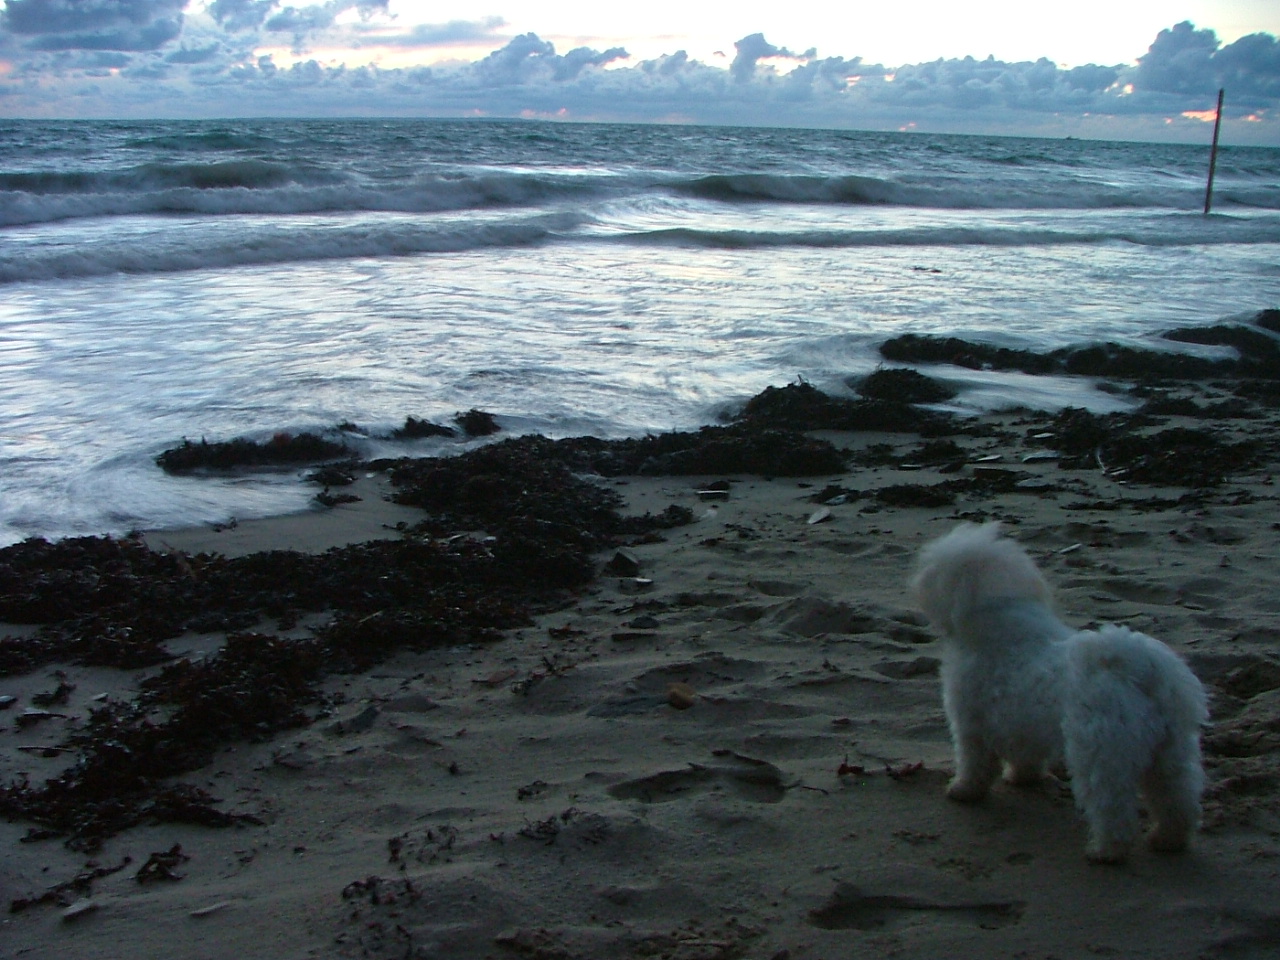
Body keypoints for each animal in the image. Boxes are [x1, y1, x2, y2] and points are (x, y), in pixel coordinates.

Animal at [911, 522, 1208, 870]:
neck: (1003, 624)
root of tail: (1141, 671)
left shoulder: (971, 719)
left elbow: (974, 761)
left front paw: (963, 790)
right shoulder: (1021, 723)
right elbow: (1025, 755)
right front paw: (1022, 778)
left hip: (1100, 752)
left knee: (1111, 807)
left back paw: (1105, 851)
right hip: (1170, 750)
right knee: (1176, 796)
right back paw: (1168, 839)